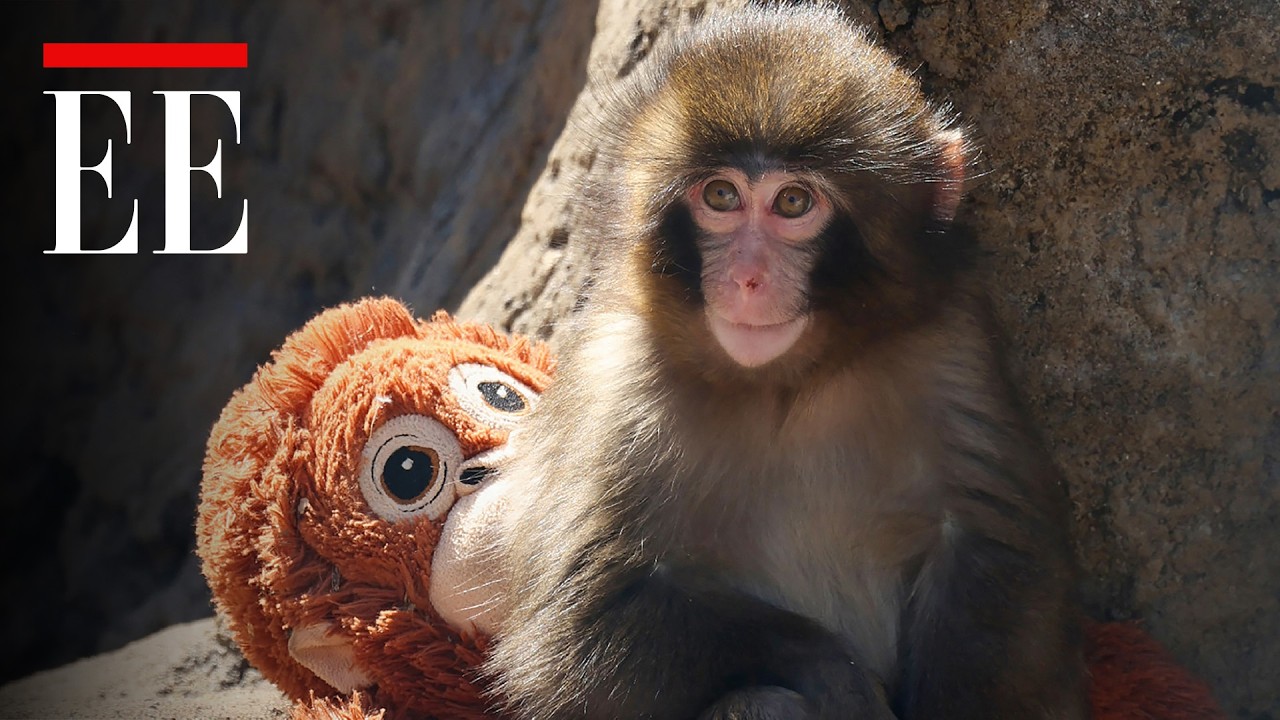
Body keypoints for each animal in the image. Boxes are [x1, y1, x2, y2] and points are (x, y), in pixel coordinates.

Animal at [483, 5, 1087, 719]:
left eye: (793, 203)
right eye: (720, 196)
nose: (747, 278)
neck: (787, 384)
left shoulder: (950, 342)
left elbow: (994, 549)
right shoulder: (619, 383)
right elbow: (580, 633)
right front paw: (835, 672)